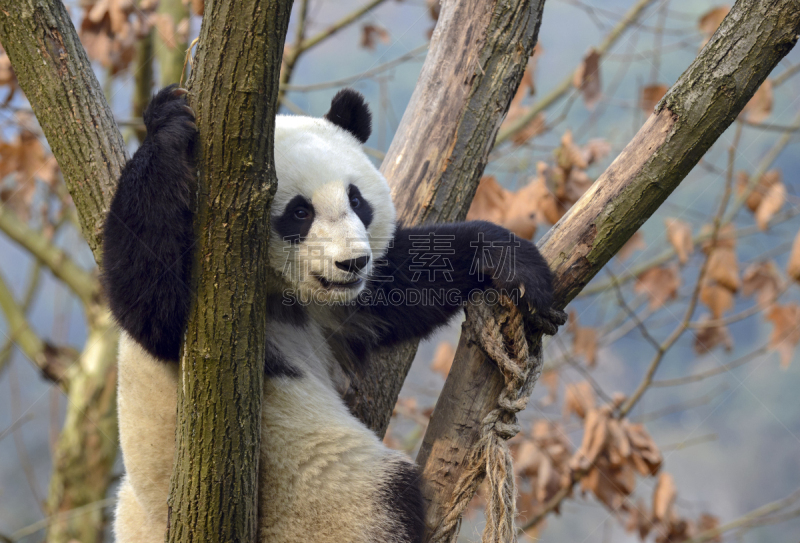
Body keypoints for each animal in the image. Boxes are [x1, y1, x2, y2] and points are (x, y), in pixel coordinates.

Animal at [104, 86, 564, 543]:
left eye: (356, 200)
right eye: (299, 212)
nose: (352, 263)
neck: (278, 291)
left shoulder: (335, 305)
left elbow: (399, 290)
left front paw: (514, 265)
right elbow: (155, 311)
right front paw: (168, 125)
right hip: (312, 494)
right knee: (379, 498)